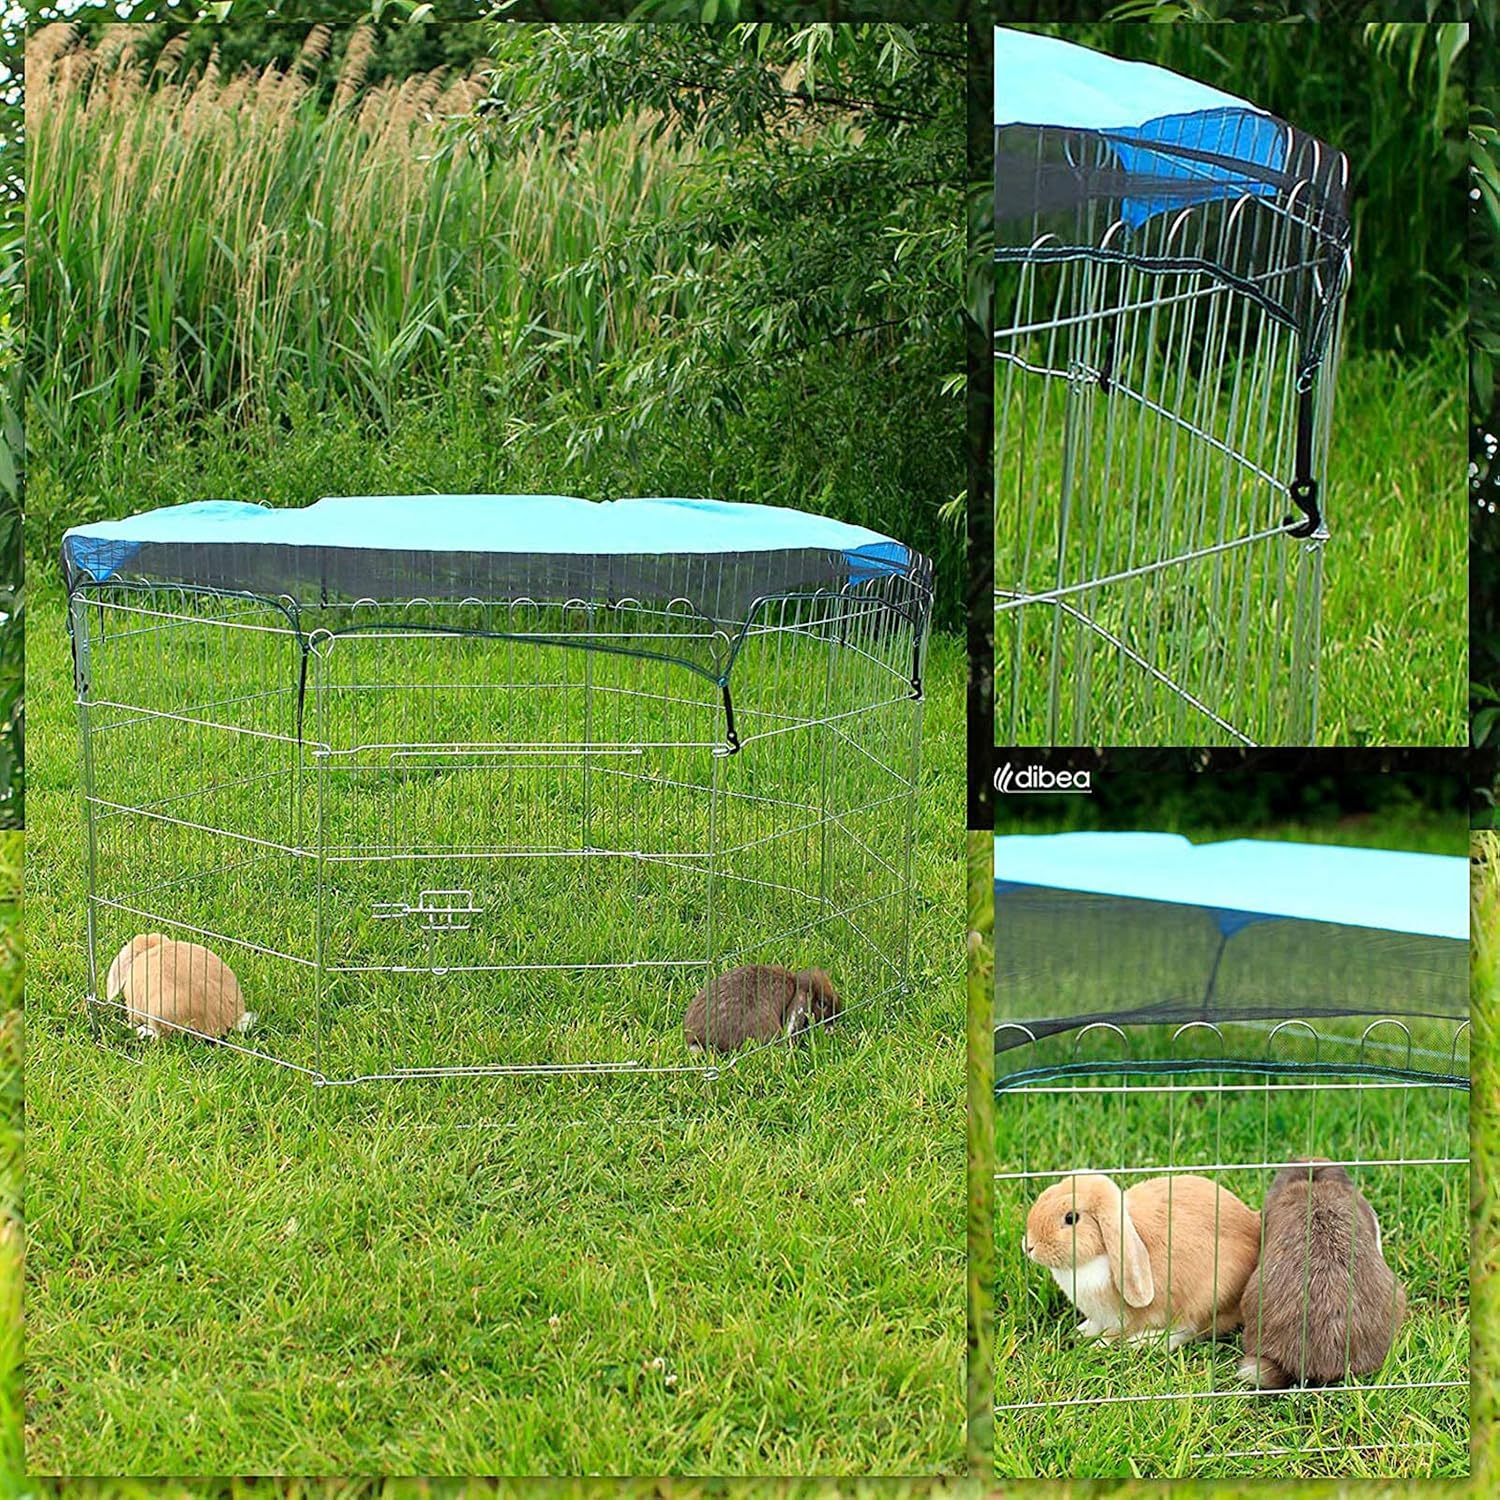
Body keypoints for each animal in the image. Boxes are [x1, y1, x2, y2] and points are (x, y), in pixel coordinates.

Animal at [105, 933, 256, 1041]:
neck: (152, 948)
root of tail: (225, 1021)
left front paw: (130, 1025)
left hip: (158, 1011)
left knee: (161, 1034)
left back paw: (142, 1032)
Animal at [1024, 1172, 1261, 1349]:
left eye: (1071, 1218)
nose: (1029, 1246)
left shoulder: (1122, 1318)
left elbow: (1113, 1334)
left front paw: (1097, 1345)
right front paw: (1080, 1332)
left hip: (1208, 1298)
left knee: (1188, 1330)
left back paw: (1143, 1342)